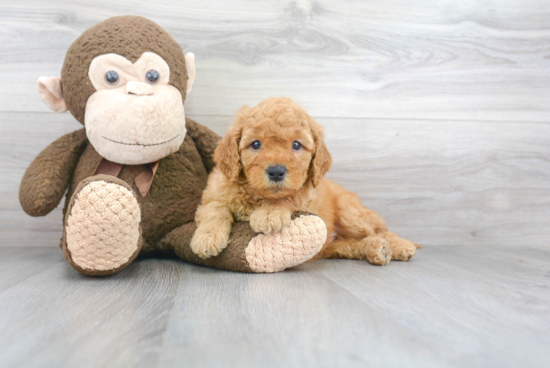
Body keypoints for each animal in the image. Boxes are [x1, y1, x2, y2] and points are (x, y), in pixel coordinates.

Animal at [192, 98, 420, 264]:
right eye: (255, 144)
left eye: (296, 145)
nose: (276, 172)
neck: (256, 195)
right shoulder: (213, 194)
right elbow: (215, 210)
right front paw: (207, 238)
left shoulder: (306, 196)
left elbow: (289, 197)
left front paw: (269, 213)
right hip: (331, 245)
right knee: (351, 244)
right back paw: (376, 248)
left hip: (351, 214)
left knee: (379, 229)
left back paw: (399, 246)